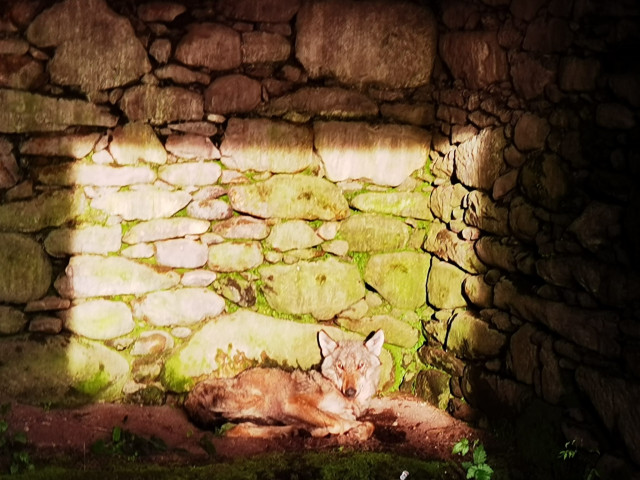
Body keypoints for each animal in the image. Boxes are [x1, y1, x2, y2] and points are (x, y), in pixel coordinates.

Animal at [184, 329, 385, 440]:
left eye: (360, 365)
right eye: (340, 366)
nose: (350, 391)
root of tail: (190, 395)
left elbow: (368, 424)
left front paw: (360, 431)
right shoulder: (293, 403)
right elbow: (339, 422)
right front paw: (325, 430)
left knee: (243, 426)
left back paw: (291, 430)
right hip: (258, 401)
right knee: (233, 430)